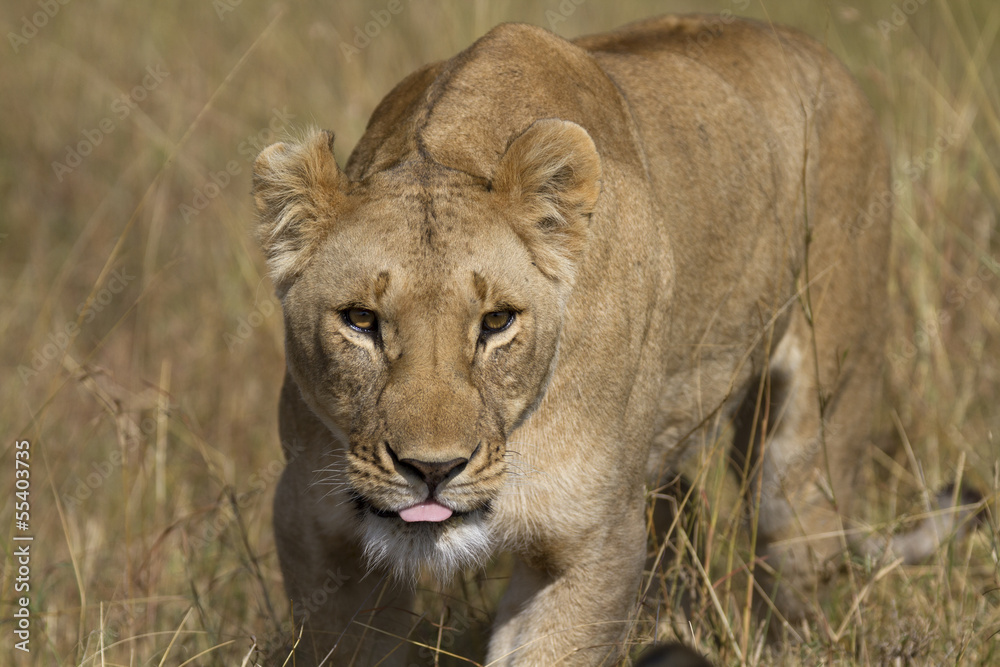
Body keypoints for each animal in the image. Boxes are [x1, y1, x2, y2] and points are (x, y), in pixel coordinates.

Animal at [250, 14, 966, 667]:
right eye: (361, 320)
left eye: (497, 322)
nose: (432, 470)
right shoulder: (316, 532)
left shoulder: (590, 543)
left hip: (815, 436)